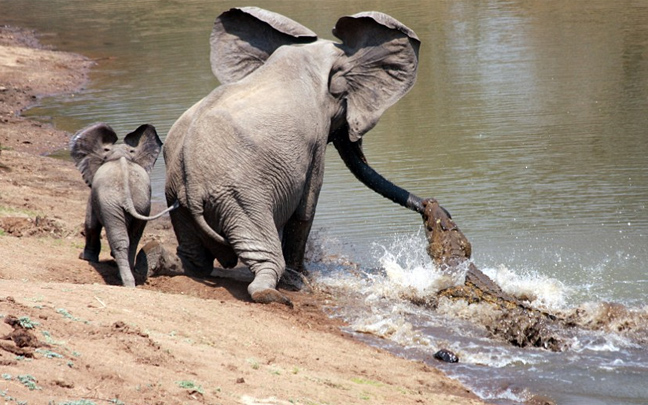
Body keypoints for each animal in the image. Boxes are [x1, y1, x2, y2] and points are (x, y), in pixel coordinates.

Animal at [70, 121, 176, 286]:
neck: (121, 155)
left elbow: (91, 224)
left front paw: (84, 258)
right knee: (133, 238)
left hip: (111, 204)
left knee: (120, 239)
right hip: (141, 205)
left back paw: (126, 281)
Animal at [157, 7, 428, 304]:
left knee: (194, 256)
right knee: (266, 256)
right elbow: (306, 208)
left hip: (176, 197)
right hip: (239, 198)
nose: (431, 208)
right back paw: (273, 294)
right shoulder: (315, 138)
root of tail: (192, 184)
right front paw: (302, 278)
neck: (308, 56)